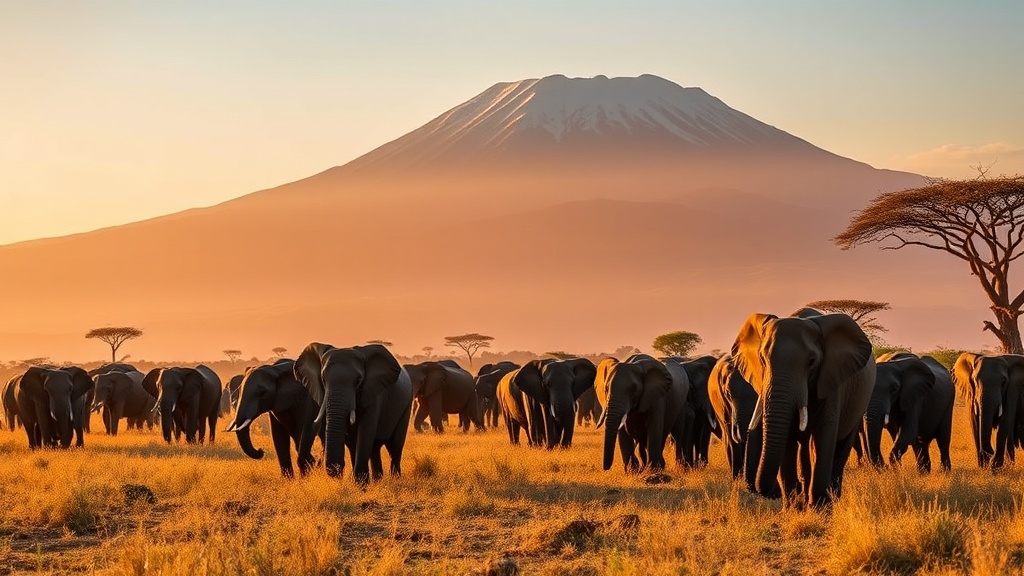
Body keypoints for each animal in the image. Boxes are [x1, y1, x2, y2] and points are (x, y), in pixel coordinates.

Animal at [294, 343, 412, 484]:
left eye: (358, 381)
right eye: (323, 379)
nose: (336, 471)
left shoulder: (373, 392)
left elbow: (365, 431)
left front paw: (360, 484)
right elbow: (352, 440)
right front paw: (358, 483)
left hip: (406, 406)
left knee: (394, 447)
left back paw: (395, 480)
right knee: (374, 448)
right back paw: (378, 481)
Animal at [732, 309, 875, 508]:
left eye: (811, 362)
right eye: (762, 359)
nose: (773, 493)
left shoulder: (831, 381)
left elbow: (824, 437)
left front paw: (820, 507)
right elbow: (787, 442)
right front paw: (794, 508)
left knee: (841, 447)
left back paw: (832, 497)